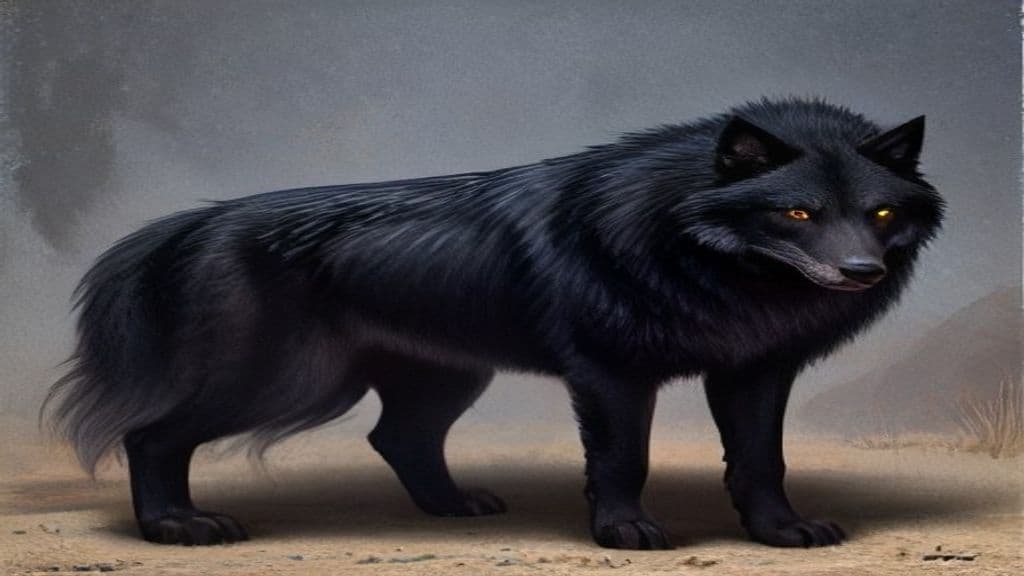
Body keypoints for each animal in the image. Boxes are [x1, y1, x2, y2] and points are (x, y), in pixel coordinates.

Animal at [45, 98, 943, 549]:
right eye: (798, 212)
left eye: (881, 212)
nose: (859, 271)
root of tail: (197, 220)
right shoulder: (611, 376)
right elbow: (623, 459)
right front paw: (625, 532)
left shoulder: (754, 373)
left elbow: (761, 462)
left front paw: (782, 533)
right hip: (283, 379)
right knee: (151, 435)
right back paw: (177, 527)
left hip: (443, 377)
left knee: (397, 438)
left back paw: (453, 508)